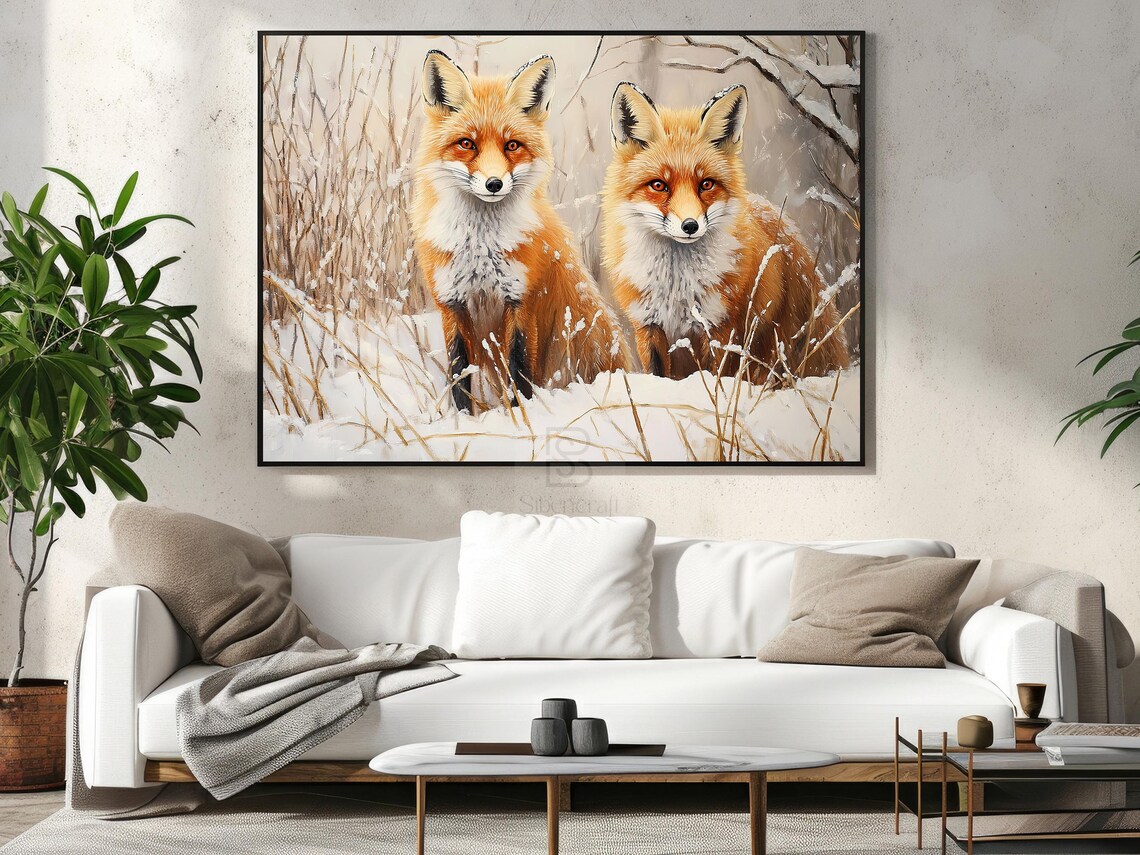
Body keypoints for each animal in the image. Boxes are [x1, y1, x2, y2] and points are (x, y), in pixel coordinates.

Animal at [412, 50, 629, 413]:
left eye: (512, 145)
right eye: (467, 144)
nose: (494, 184)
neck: (480, 248)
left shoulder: (522, 301)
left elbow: (519, 370)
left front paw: (520, 417)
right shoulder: (450, 304)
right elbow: (459, 375)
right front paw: (462, 419)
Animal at [600, 81, 850, 383]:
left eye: (706, 184)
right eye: (659, 185)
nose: (690, 226)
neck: (676, 287)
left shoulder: (719, 327)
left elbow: (714, 378)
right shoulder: (648, 326)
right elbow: (658, 376)